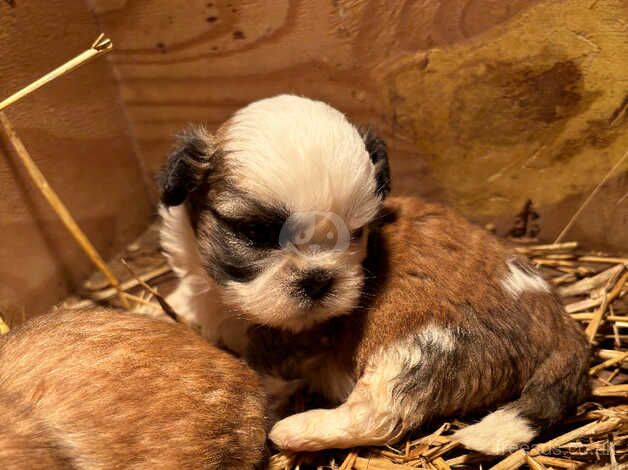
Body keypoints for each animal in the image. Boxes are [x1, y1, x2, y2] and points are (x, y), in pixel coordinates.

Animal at [157, 95, 588, 456]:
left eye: (356, 232)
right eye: (257, 234)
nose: (318, 279)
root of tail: (561, 323)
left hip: (418, 339)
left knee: (378, 413)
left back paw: (296, 429)